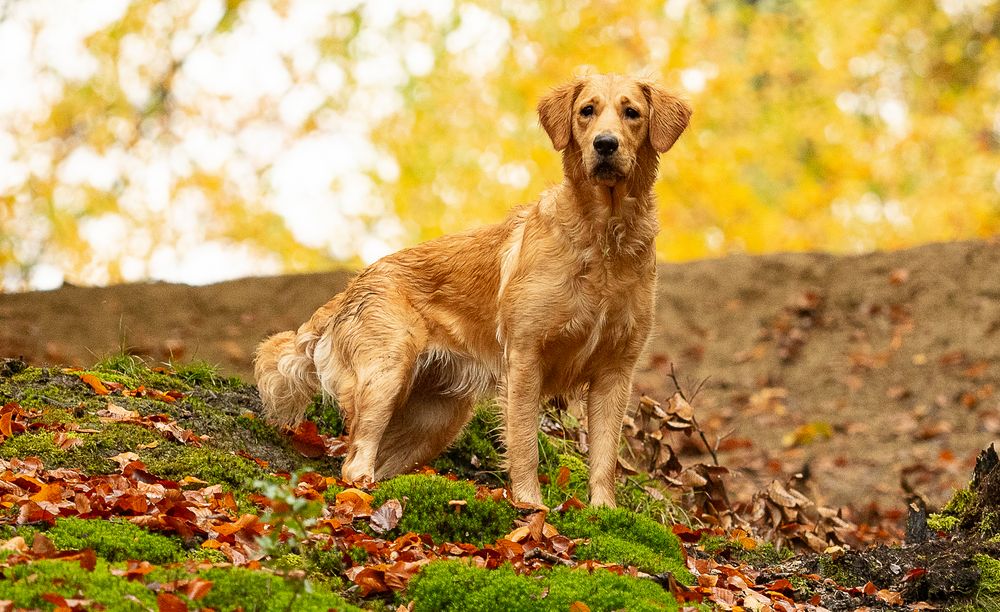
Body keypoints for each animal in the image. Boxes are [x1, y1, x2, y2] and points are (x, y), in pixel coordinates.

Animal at [254, 73, 692, 506]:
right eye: (587, 111)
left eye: (631, 113)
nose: (605, 144)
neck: (604, 236)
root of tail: (354, 284)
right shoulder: (525, 356)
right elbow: (524, 446)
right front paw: (530, 506)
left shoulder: (616, 370)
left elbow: (605, 457)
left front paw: (604, 512)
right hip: (387, 371)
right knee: (355, 456)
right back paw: (364, 487)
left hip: (436, 418)